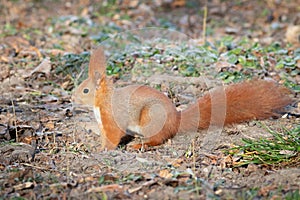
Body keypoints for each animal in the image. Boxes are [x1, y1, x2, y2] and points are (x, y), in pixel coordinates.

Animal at [72, 47, 292, 150]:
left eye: (85, 90)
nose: (72, 99)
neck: (101, 103)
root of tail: (175, 120)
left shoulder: (112, 118)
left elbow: (114, 136)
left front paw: (104, 150)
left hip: (151, 118)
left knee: (157, 139)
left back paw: (139, 145)